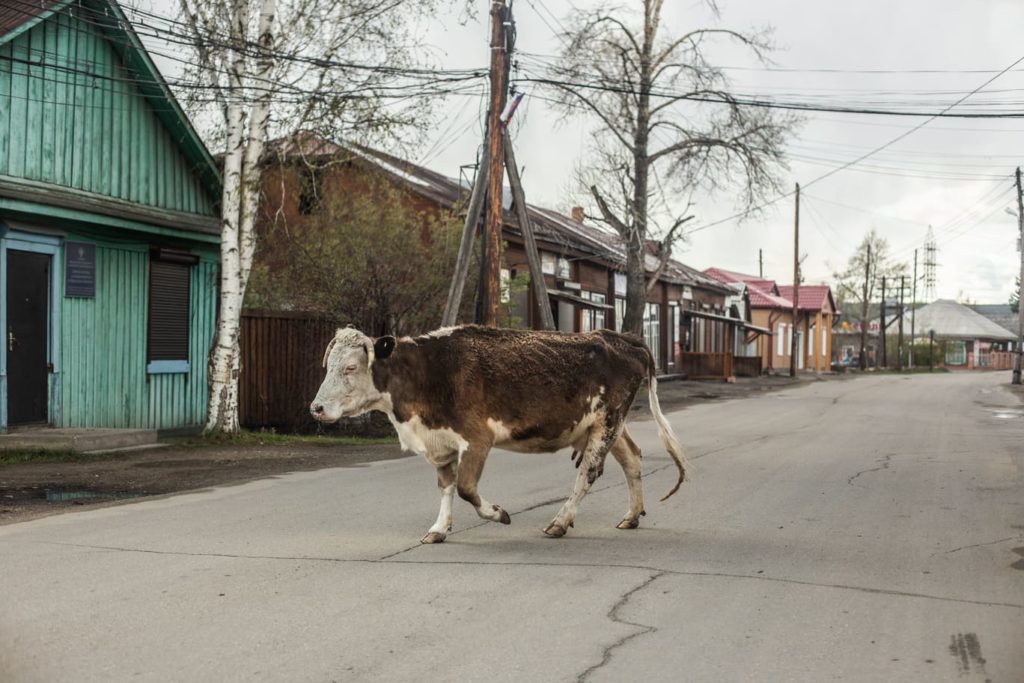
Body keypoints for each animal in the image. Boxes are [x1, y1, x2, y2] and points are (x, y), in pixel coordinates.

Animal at [307, 325, 684, 544]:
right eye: (327, 366)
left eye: (350, 367)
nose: (316, 408)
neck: (429, 373)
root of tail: (620, 337)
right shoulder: (439, 442)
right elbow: (446, 487)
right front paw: (439, 529)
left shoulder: (477, 439)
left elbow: (465, 488)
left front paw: (498, 514)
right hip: (606, 425)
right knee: (632, 459)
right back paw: (631, 516)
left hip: (607, 421)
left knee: (588, 473)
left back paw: (560, 522)